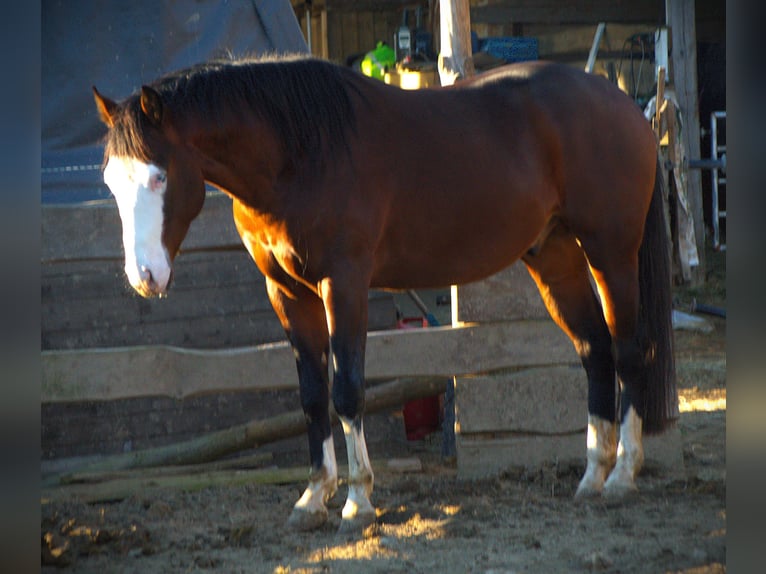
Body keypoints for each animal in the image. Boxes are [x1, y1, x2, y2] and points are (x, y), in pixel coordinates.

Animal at [93, 53, 677, 533]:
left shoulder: (344, 284)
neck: (299, 153)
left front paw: (357, 503)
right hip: (555, 258)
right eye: (111, 183)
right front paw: (313, 497)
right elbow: (312, 395)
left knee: (628, 352)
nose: (145, 276)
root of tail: (623, 105)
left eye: (158, 177)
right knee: (596, 351)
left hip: (611, 254)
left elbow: (348, 390)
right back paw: (592, 476)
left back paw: (623, 476)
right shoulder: (286, 293)